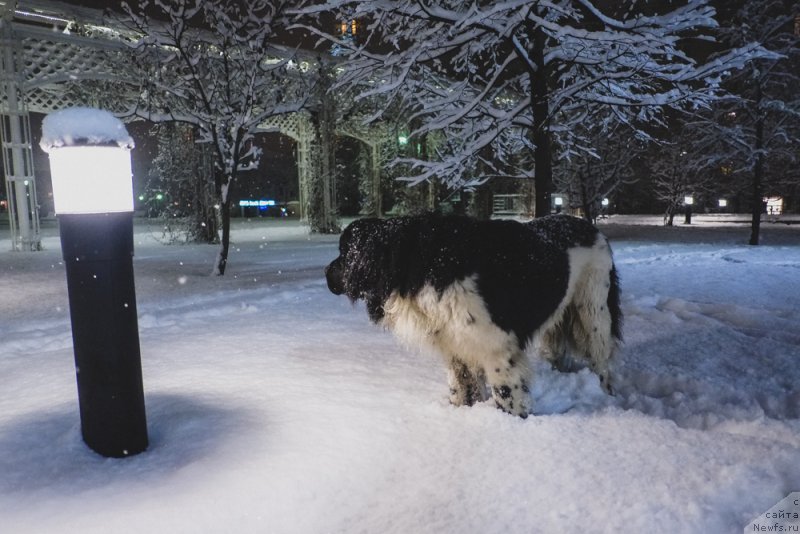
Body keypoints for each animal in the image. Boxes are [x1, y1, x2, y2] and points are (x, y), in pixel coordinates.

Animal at [322, 214, 620, 418]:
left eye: (344, 253)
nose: (325, 273)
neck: (419, 265)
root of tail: (593, 228)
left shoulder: (498, 350)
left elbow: (507, 395)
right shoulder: (455, 344)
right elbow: (461, 388)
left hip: (593, 312)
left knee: (602, 360)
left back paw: (607, 394)